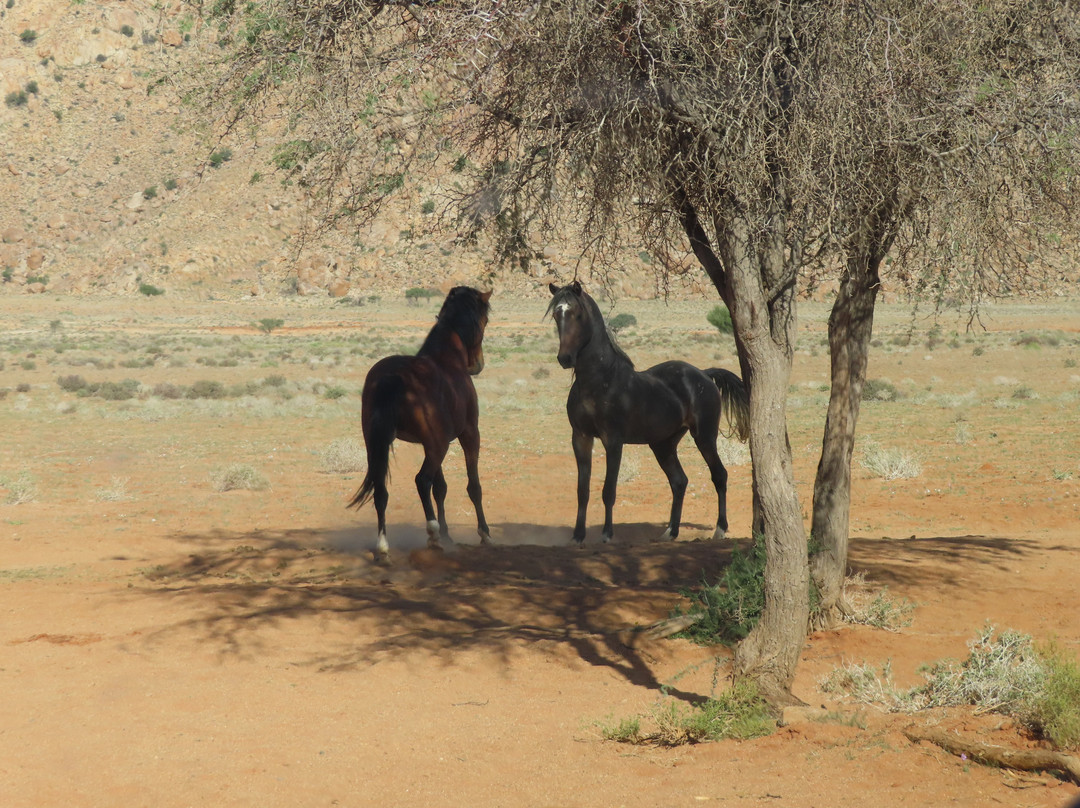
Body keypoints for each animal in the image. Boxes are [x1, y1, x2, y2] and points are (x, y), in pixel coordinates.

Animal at [349, 286, 493, 564]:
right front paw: (484, 533)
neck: (447, 359)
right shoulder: (468, 435)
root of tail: (391, 377)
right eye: (485, 320)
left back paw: (383, 546)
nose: (477, 365)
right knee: (421, 480)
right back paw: (432, 535)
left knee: (381, 490)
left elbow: (441, 488)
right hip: (439, 447)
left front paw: (448, 534)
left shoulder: (430, 443)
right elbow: (473, 486)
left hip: (377, 444)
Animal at [546, 281, 749, 545]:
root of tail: (704, 374)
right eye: (556, 314)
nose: (565, 358)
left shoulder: (613, 441)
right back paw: (670, 532)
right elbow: (583, 490)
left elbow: (609, 490)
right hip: (663, 444)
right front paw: (578, 536)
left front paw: (607, 534)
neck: (599, 380)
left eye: (577, 314)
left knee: (719, 476)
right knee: (679, 481)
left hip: (704, 436)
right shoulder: (580, 437)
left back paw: (720, 529)